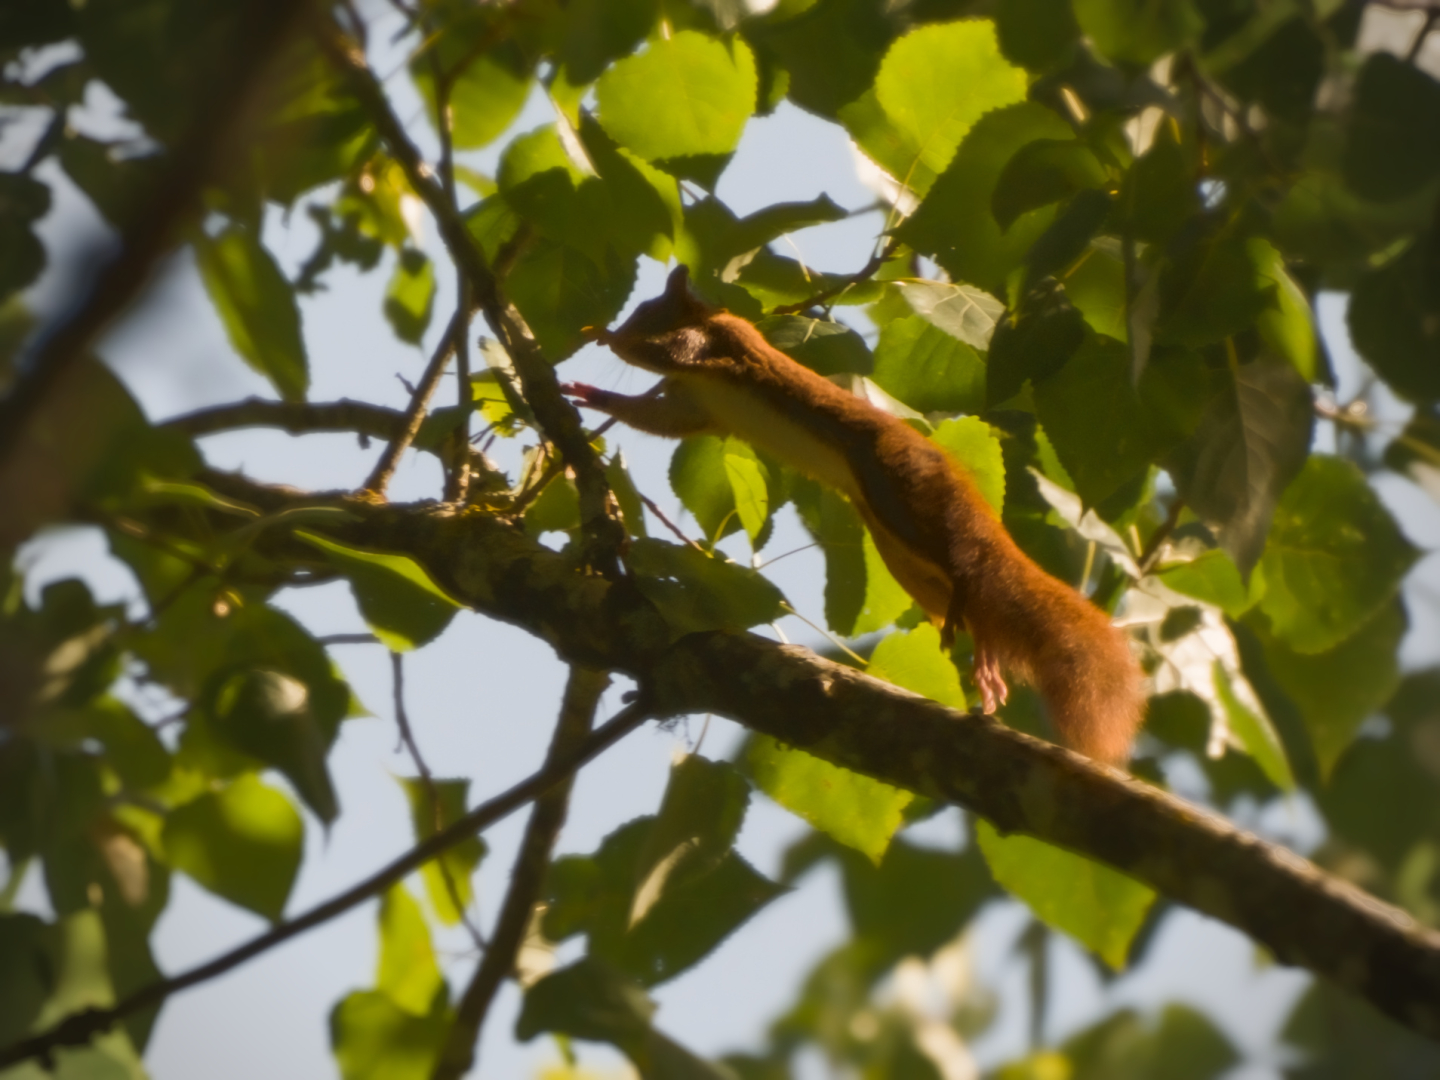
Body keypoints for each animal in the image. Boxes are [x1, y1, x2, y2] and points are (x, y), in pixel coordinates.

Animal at [564, 265, 1145, 765]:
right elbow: (653, 418)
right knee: (969, 599)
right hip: (900, 555)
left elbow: (670, 357)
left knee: (964, 568)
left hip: (902, 499)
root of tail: (954, 479)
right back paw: (984, 654)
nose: (622, 324)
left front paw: (602, 337)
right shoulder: (693, 408)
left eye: (647, 308)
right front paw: (591, 394)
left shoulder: (709, 350)